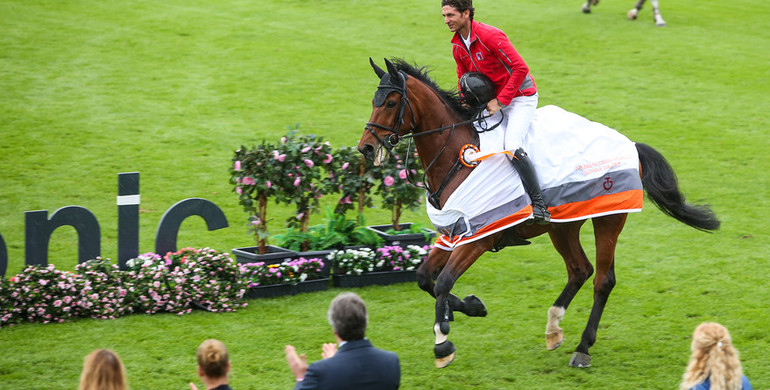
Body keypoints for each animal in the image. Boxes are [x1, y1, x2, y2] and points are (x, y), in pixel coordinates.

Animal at [356, 58, 716, 368]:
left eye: (391, 103)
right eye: (373, 100)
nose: (366, 148)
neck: (458, 159)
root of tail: (630, 144)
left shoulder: (478, 239)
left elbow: (443, 283)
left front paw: (443, 343)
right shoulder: (451, 235)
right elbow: (424, 279)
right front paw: (471, 307)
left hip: (608, 218)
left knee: (602, 279)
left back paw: (583, 348)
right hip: (563, 225)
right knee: (579, 270)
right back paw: (554, 329)